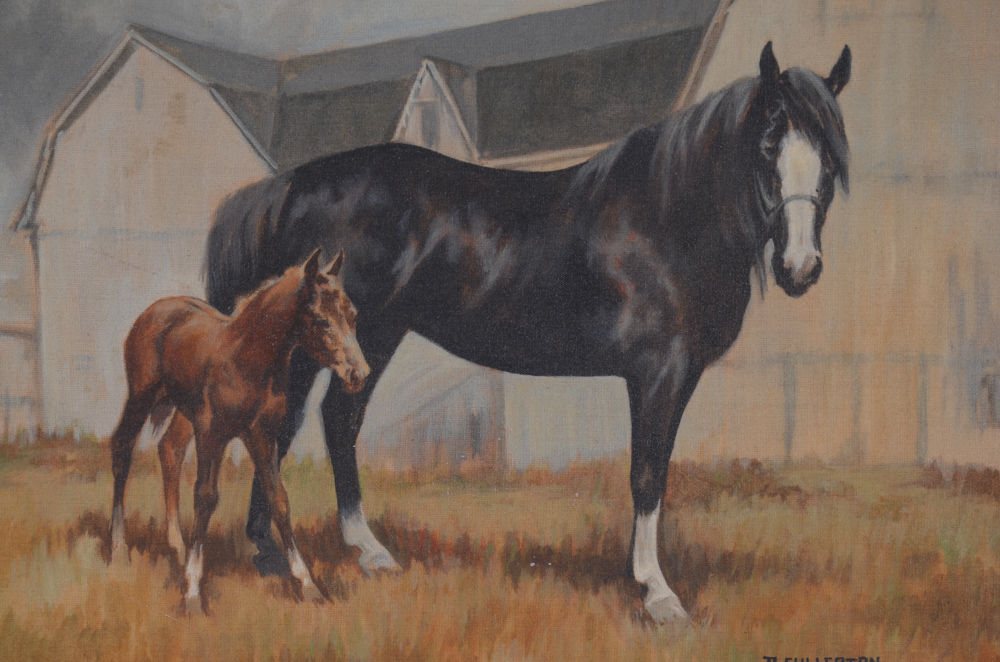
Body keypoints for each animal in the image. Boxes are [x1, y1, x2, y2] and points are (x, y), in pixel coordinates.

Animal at [108, 249, 369, 613]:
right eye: (320, 320)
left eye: (354, 315)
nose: (360, 374)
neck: (247, 361)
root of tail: (158, 309)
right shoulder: (211, 435)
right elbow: (205, 497)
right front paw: (192, 592)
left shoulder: (261, 436)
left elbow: (278, 499)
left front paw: (308, 585)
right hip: (141, 396)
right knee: (122, 446)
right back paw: (119, 551)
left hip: (182, 411)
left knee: (170, 449)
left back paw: (176, 545)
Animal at [203, 42, 851, 623]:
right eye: (766, 150)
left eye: (826, 162)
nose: (800, 268)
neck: (667, 219)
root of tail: (288, 187)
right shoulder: (655, 374)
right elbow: (647, 474)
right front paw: (657, 593)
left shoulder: (678, 376)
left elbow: (657, 471)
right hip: (334, 341)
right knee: (299, 424)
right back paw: (295, 552)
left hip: (364, 339)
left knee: (327, 422)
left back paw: (342, 552)